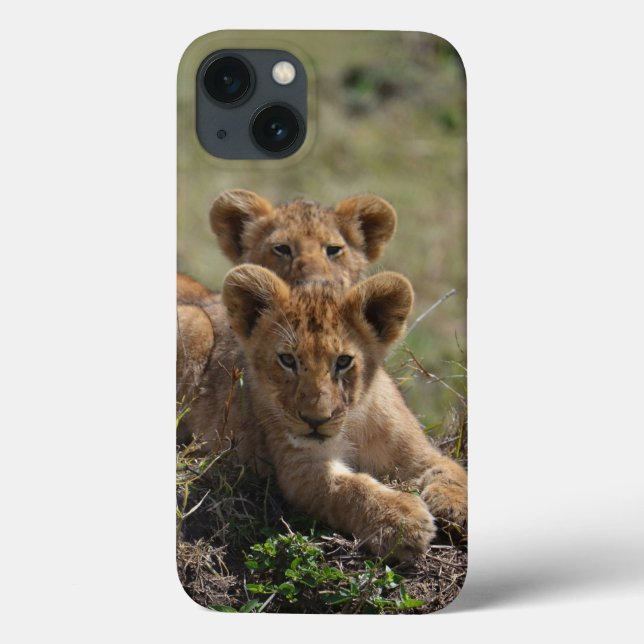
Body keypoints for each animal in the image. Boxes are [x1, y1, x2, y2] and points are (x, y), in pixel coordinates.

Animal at [179, 264, 467, 560]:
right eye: (287, 360)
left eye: (343, 361)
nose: (314, 420)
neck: (351, 424)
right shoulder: (301, 469)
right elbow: (350, 489)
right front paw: (401, 521)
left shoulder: (417, 452)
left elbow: (451, 472)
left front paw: (456, 509)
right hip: (195, 325)